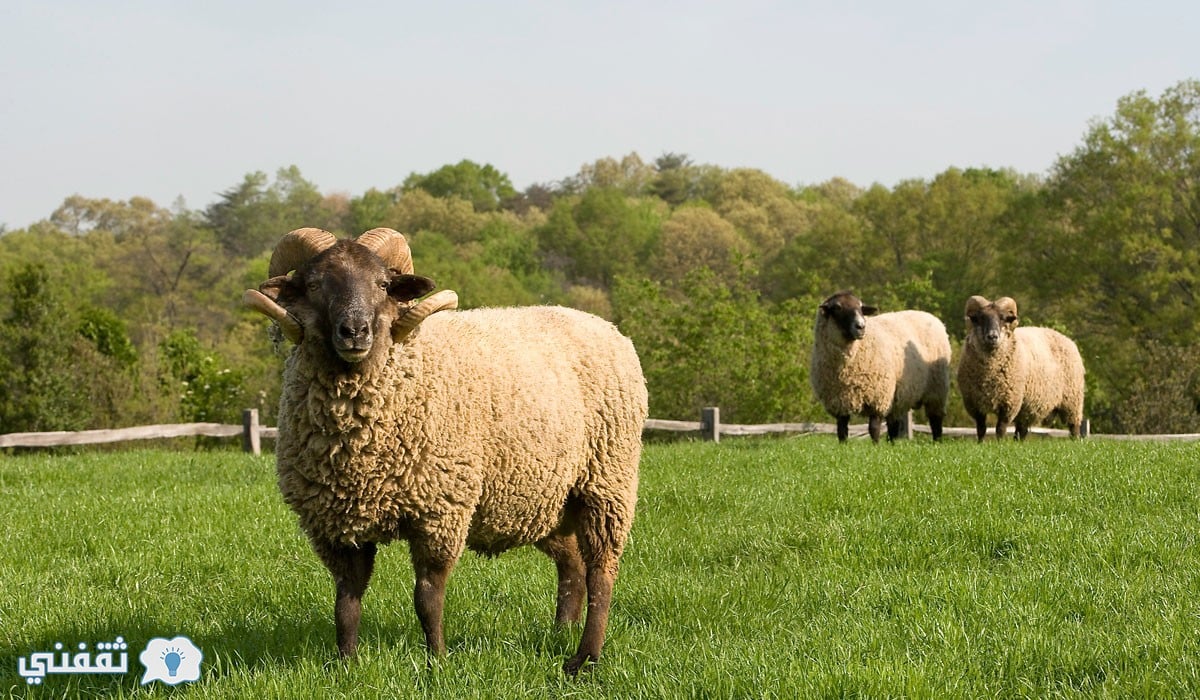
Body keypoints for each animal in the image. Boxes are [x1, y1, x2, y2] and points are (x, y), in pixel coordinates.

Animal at [236, 226, 648, 677]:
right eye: (313, 285)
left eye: (383, 285)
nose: (355, 332)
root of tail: (606, 326)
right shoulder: (335, 524)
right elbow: (346, 601)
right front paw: (346, 666)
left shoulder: (440, 510)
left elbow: (427, 597)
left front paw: (437, 662)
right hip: (544, 500)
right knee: (571, 564)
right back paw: (561, 632)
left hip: (606, 482)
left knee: (601, 573)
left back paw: (585, 658)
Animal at [811, 290, 950, 444]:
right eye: (837, 307)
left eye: (861, 307)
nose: (861, 326)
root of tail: (930, 316)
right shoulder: (839, 402)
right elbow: (841, 430)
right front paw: (844, 446)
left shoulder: (878, 397)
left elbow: (874, 428)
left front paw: (875, 446)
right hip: (897, 397)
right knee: (893, 423)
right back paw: (892, 443)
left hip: (936, 388)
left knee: (935, 419)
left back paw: (937, 441)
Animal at [955, 297, 1089, 444]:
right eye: (980, 318)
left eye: (1003, 318)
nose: (992, 337)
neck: (989, 372)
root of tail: (1068, 339)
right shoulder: (974, 403)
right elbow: (981, 428)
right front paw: (980, 444)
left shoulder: (1009, 402)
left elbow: (1000, 428)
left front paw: (999, 444)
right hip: (1028, 405)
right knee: (1022, 429)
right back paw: (1018, 443)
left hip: (1072, 400)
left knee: (1074, 426)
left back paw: (1075, 441)